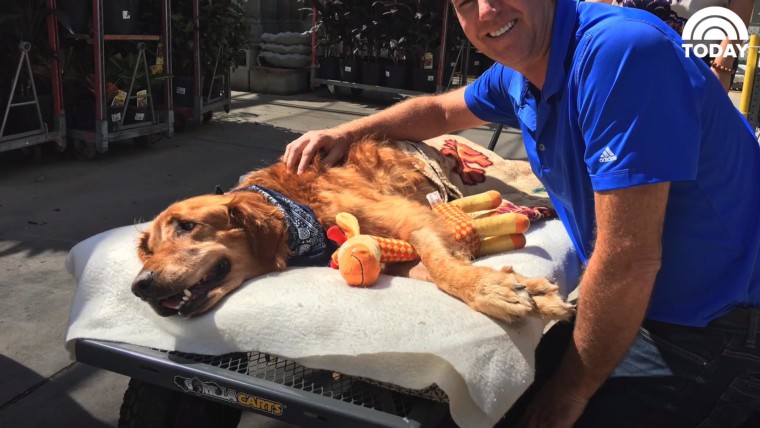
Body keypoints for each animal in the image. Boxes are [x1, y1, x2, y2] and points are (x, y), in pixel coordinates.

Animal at [132, 139, 568, 322]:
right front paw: (526, 290)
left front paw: (487, 290)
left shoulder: (409, 216)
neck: (294, 208)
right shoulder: (399, 241)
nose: (139, 286)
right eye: (147, 250)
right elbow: (427, 269)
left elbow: (441, 268)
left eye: (187, 226)